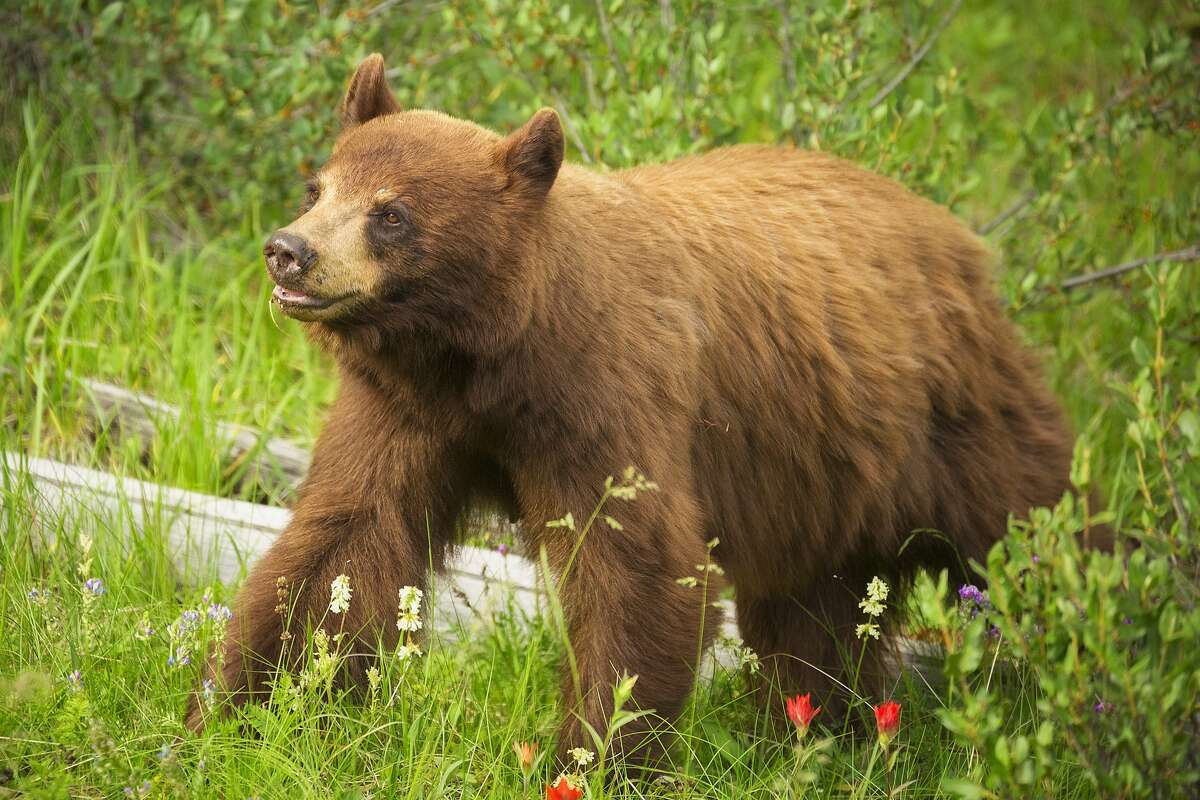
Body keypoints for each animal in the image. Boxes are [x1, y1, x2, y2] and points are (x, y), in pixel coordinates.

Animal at [187, 53, 1098, 765]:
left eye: (392, 211)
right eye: (319, 185)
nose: (289, 251)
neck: (489, 356)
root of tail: (961, 240)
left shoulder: (607, 395)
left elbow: (640, 570)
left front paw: (592, 756)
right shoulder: (404, 412)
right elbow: (342, 547)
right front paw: (231, 712)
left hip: (953, 420)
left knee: (1042, 531)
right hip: (821, 472)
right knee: (813, 610)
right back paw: (812, 728)